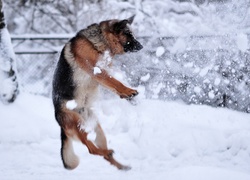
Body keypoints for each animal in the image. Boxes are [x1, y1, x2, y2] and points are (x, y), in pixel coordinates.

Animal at [52, 15, 143, 170]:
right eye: (128, 34)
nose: (141, 46)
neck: (100, 43)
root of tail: (59, 123)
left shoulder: (102, 74)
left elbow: (113, 84)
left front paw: (127, 96)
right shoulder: (97, 71)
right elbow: (115, 82)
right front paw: (129, 91)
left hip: (98, 131)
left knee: (102, 153)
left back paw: (121, 166)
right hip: (78, 124)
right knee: (91, 149)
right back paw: (107, 153)